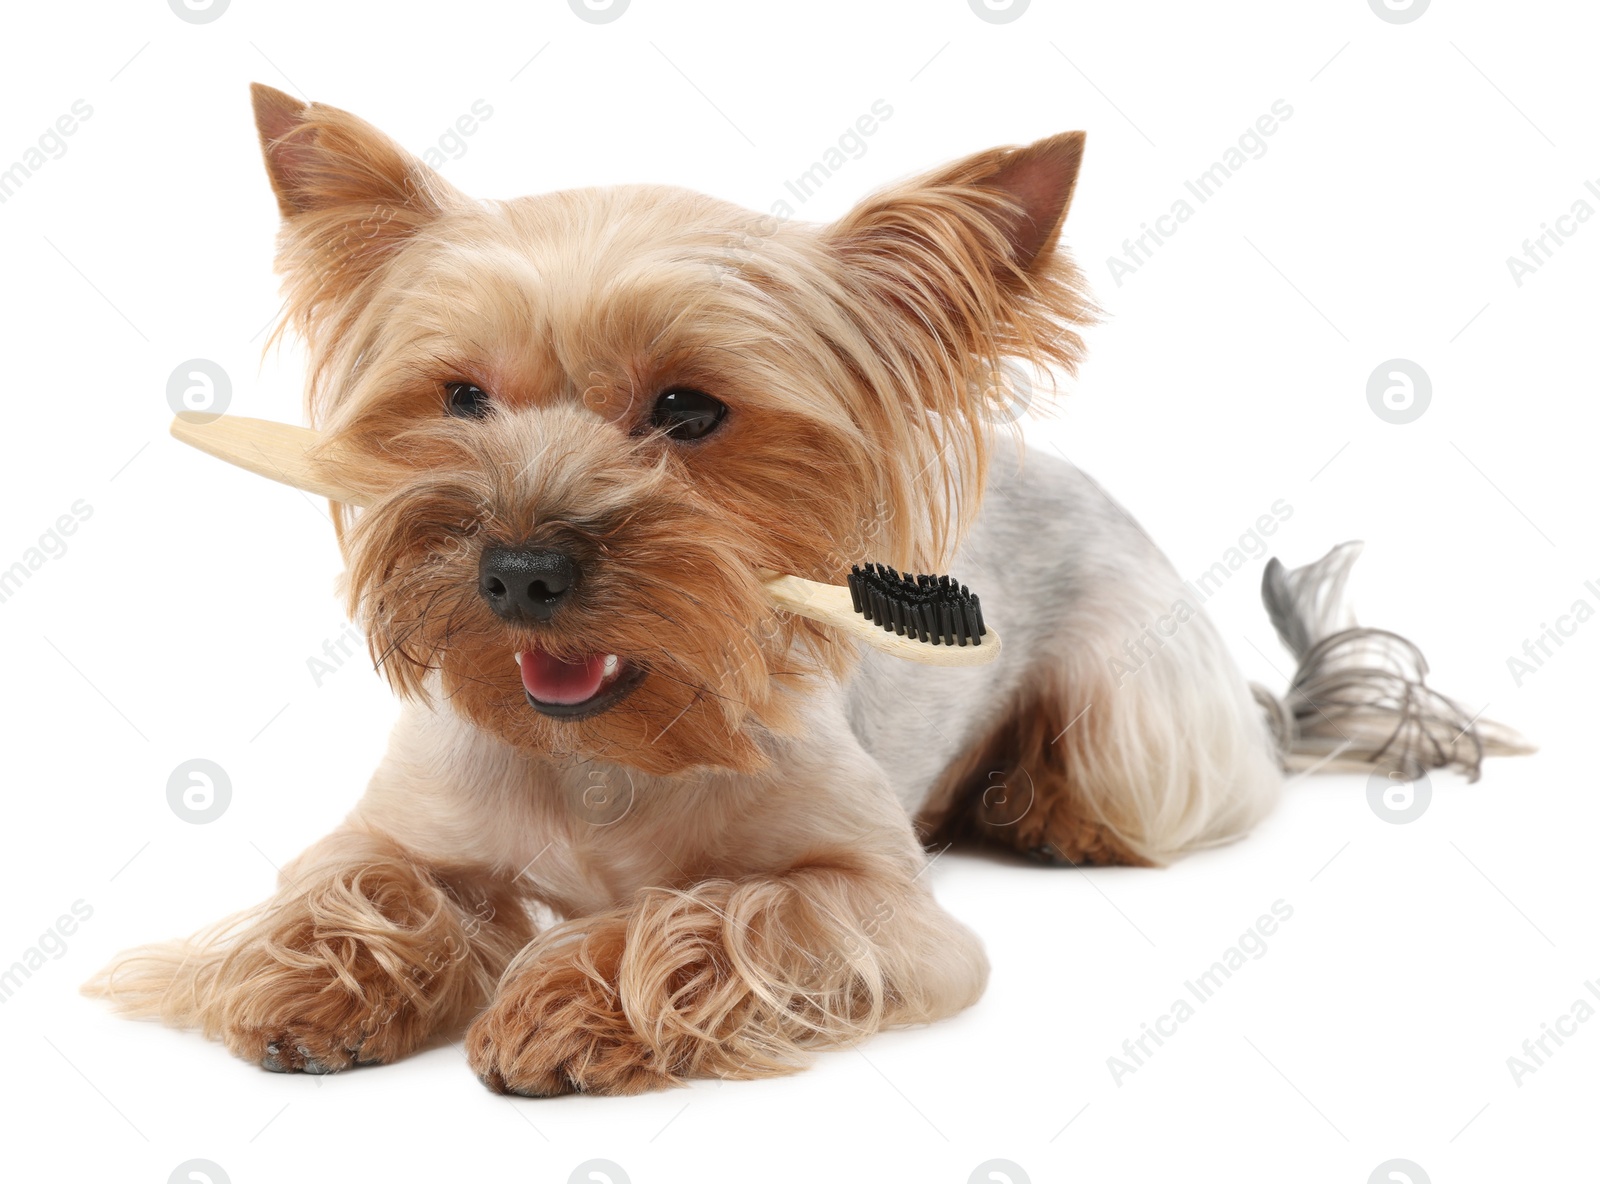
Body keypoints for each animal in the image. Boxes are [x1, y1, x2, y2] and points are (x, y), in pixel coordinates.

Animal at [87, 85, 1523, 1094]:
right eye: (460, 398)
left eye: (688, 410)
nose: (519, 565)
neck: (607, 749)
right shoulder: (397, 822)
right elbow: (358, 880)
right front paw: (322, 980)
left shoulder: (879, 905)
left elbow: (732, 911)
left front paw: (575, 993)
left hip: (1139, 720)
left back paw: (1043, 806)